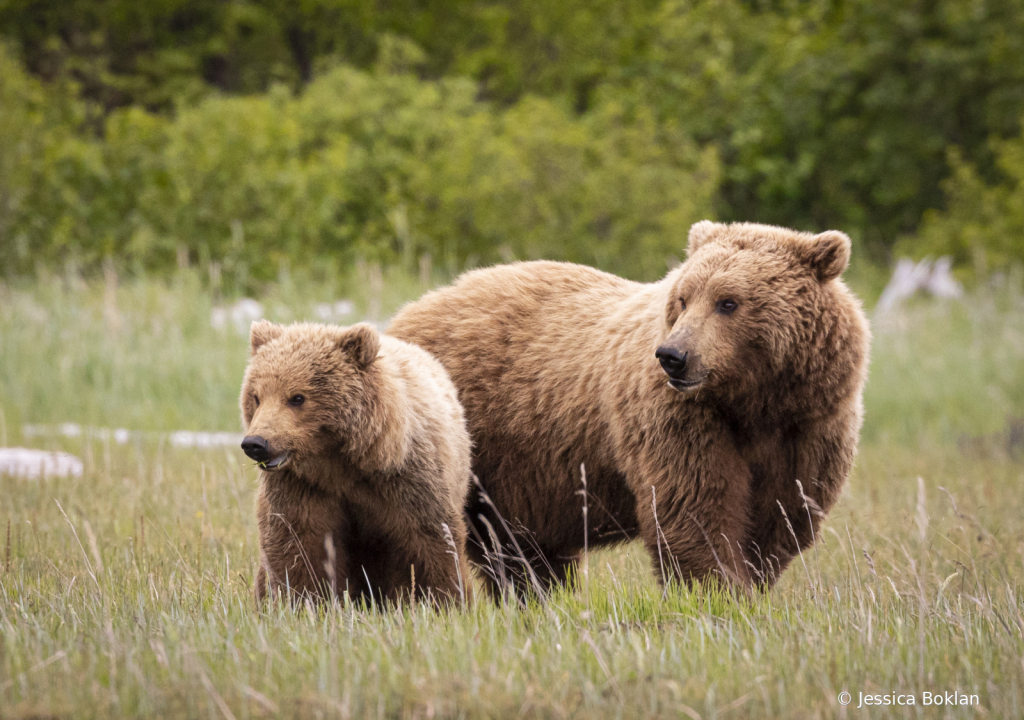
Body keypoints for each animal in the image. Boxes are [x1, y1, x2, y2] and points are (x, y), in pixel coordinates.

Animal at [387, 222, 868, 594]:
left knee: (520, 546)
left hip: (523, 476)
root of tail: (406, 312)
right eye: (684, 297)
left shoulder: (809, 426)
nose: (674, 356)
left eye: (728, 301)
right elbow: (694, 508)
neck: (753, 402)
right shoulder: (680, 420)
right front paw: (719, 590)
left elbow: (782, 513)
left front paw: (750, 582)